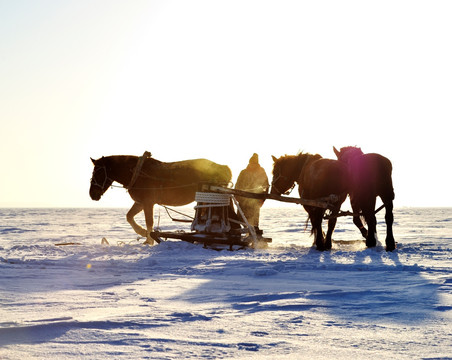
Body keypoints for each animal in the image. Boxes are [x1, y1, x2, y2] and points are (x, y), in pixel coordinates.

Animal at [91, 153, 233, 246]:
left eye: (99, 172)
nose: (92, 194)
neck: (137, 174)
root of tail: (224, 167)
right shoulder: (140, 203)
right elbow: (129, 216)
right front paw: (143, 233)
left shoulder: (148, 202)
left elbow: (149, 222)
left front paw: (149, 240)